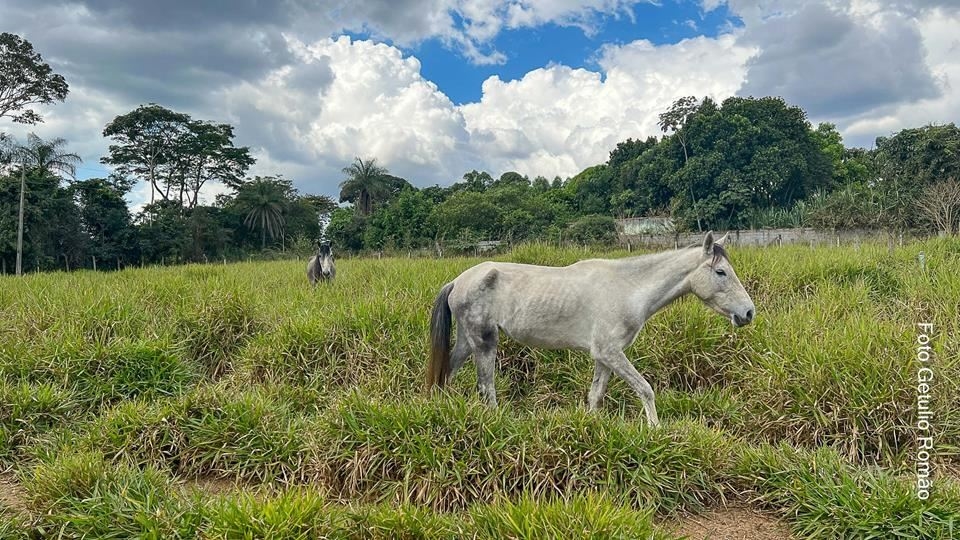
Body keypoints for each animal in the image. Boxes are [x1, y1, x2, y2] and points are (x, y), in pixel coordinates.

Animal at [426, 232, 752, 426]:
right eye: (721, 272)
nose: (748, 313)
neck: (627, 288)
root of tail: (458, 281)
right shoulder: (610, 352)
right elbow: (645, 389)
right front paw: (655, 429)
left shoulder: (604, 356)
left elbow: (596, 394)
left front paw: (592, 427)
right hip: (484, 342)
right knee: (486, 386)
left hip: (467, 341)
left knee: (448, 372)